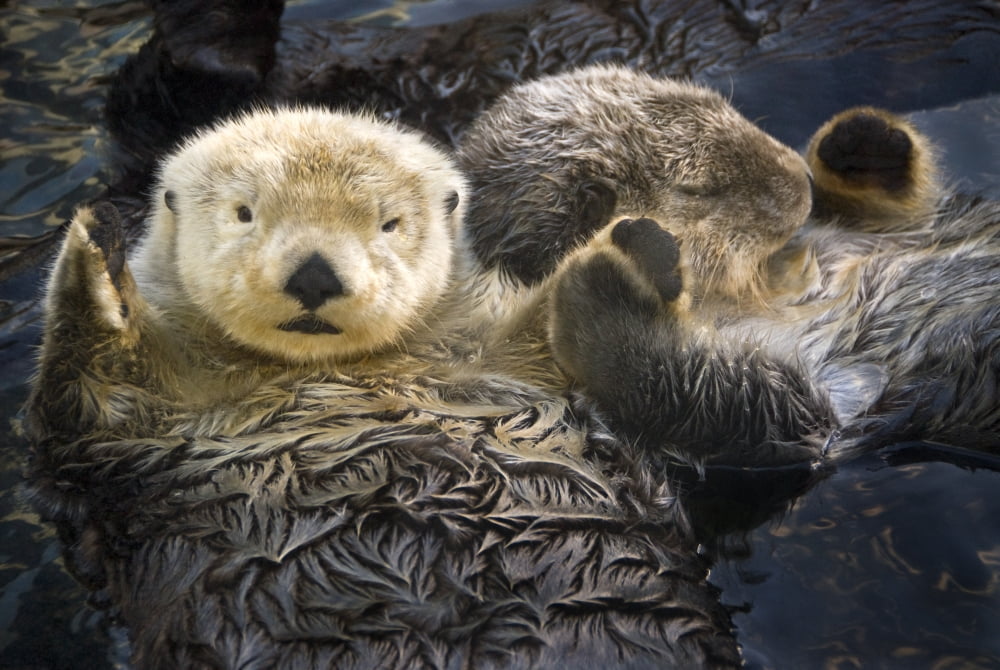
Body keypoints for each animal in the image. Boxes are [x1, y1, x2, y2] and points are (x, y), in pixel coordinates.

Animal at [25, 106, 741, 668]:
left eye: (388, 223)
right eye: (244, 214)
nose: (315, 275)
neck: (330, 374)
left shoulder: (508, 361)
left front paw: (632, 252)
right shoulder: (120, 439)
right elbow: (84, 389)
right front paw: (95, 248)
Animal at [457, 64, 999, 467]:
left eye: (727, 109)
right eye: (704, 188)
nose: (802, 180)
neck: (773, 283)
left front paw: (861, 143)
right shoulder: (832, 403)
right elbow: (737, 404)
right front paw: (608, 283)